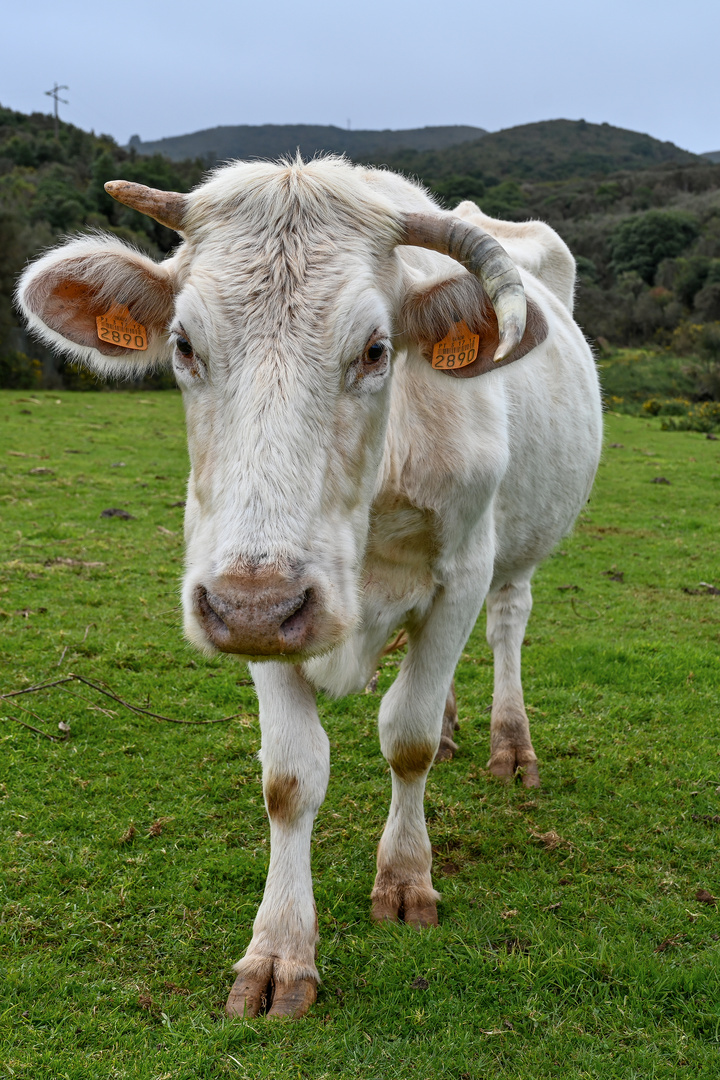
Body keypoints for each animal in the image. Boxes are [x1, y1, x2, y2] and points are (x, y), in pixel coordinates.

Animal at [15, 156, 604, 1015]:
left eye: (376, 348)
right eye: (184, 344)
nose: (256, 607)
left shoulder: (459, 571)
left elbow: (406, 738)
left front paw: (406, 878)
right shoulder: (248, 594)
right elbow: (291, 778)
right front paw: (279, 952)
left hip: (519, 551)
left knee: (506, 625)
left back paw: (509, 744)